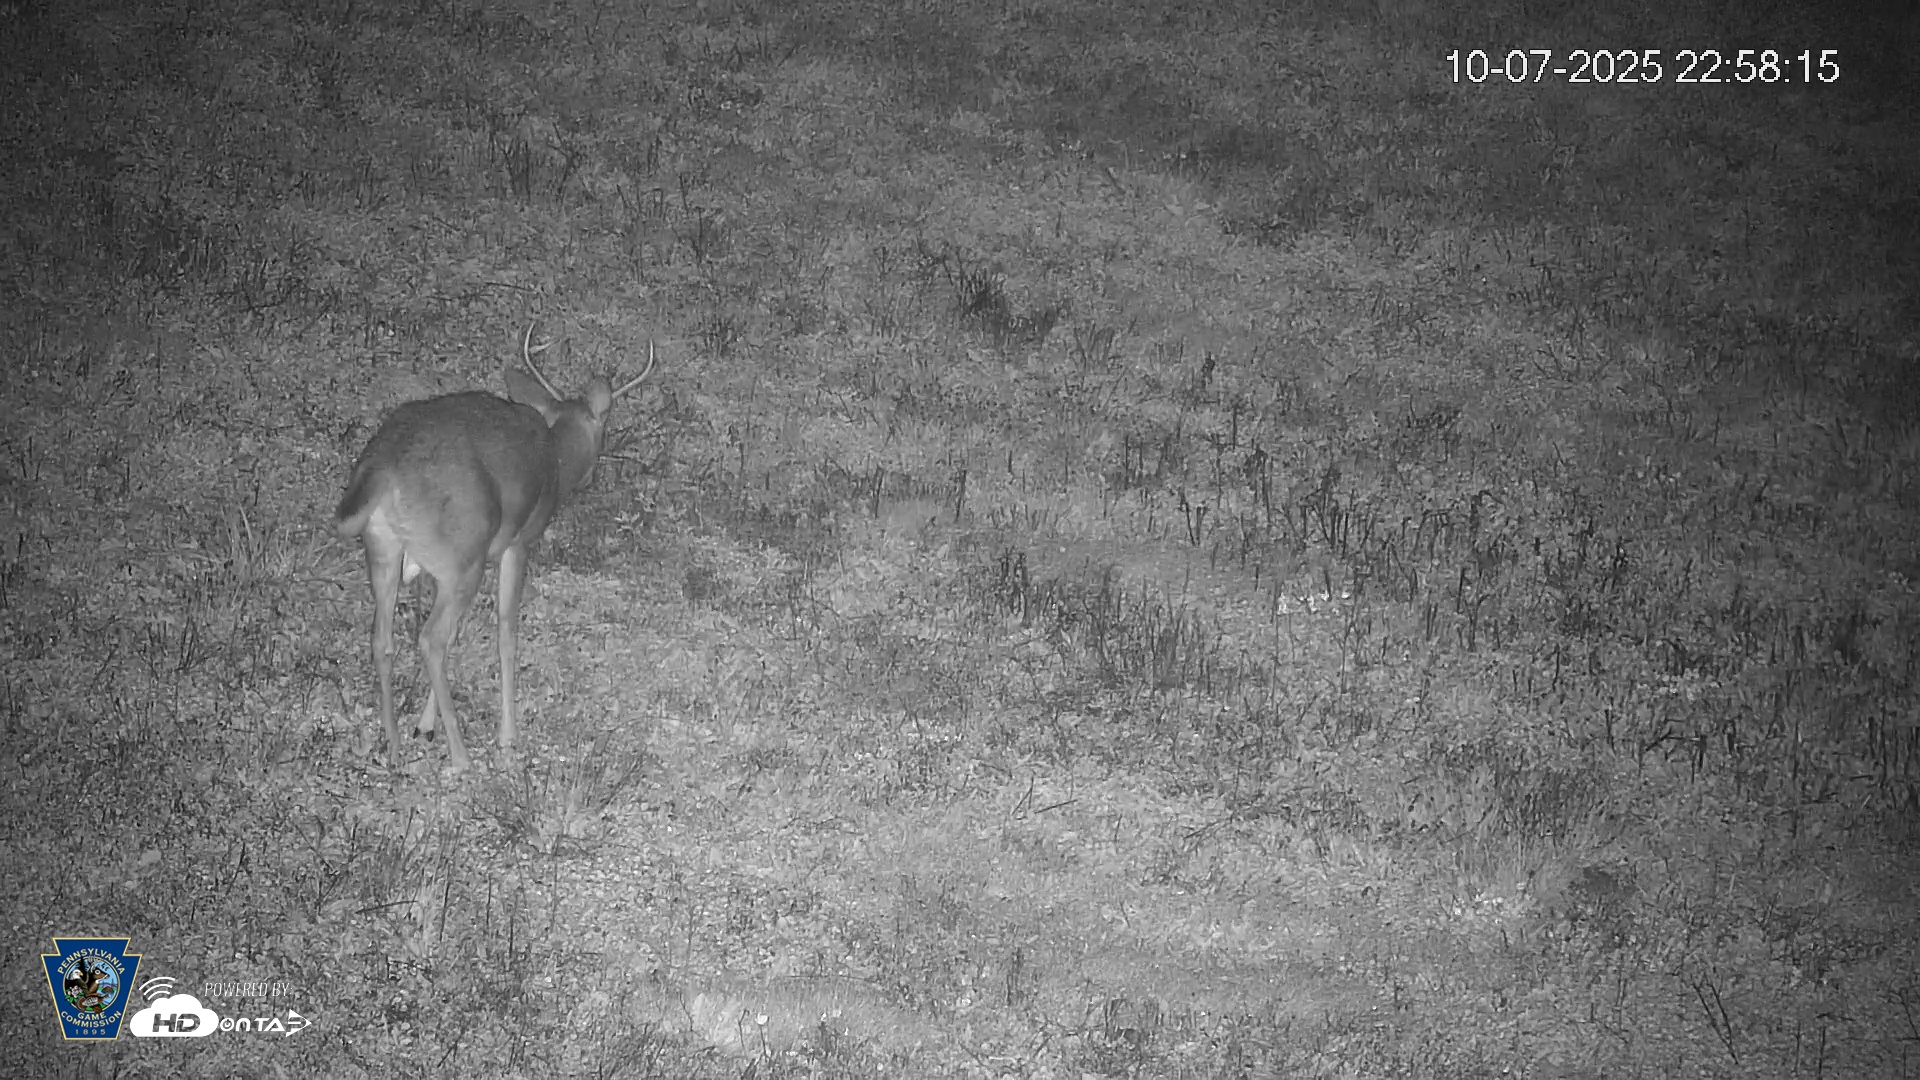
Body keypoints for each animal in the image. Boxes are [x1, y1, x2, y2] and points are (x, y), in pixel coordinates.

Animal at [336, 323, 655, 771]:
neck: (555, 458)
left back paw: (395, 746)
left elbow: (460, 635)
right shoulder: (516, 542)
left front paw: (425, 725)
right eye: (603, 430)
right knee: (431, 639)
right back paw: (462, 757)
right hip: (462, 556)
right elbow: (505, 630)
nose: (591, 476)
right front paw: (507, 735)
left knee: (382, 640)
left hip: (385, 549)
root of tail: (382, 469)